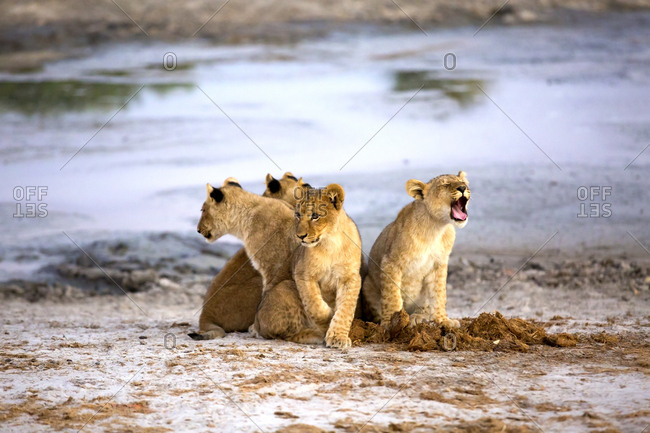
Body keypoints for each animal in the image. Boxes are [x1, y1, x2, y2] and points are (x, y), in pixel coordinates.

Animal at [195, 177, 323, 344]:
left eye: (203, 210)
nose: (198, 230)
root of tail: (205, 313)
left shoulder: (272, 267)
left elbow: (266, 297)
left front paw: (256, 328)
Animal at [291, 184, 363, 348]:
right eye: (298, 214)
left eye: (315, 215)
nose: (300, 236)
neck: (331, 243)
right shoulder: (303, 274)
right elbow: (314, 305)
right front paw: (328, 319)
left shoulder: (350, 278)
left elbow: (345, 309)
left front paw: (338, 337)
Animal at [361, 171, 470, 329]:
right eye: (445, 184)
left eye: (463, 182)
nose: (462, 188)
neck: (435, 227)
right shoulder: (390, 262)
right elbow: (392, 296)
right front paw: (391, 324)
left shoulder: (439, 265)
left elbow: (439, 293)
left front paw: (443, 320)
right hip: (367, 284)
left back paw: (418, 317)